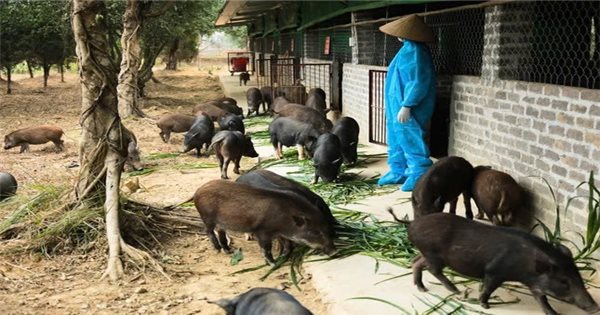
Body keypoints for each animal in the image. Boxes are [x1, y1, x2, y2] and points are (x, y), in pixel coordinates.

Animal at [195, 179, 336, 266]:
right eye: (315, 232)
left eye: (327, 227)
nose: (335, 252)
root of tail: (198, 190)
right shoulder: (262, 231)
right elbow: (266, 248)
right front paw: (273, 263)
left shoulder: (281, 233)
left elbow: (288, 245)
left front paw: (283, 257)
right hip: (207, 217)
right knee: (208, 231)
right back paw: (218, 249)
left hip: (220, 222)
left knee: (220, 231)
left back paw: (228, 250)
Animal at [410, 212, 596, 315]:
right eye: (564, 281)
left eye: (578, 276)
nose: (596, 307)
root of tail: (412, 225)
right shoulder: (494, 271)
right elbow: (488, 288)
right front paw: (485, 306)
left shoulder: (534, 284)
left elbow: (542, 299)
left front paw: (553, 313)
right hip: (434, 255)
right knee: (433, 269)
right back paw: (455, 290)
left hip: (426, 254)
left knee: (416, 262)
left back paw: (422, 288)